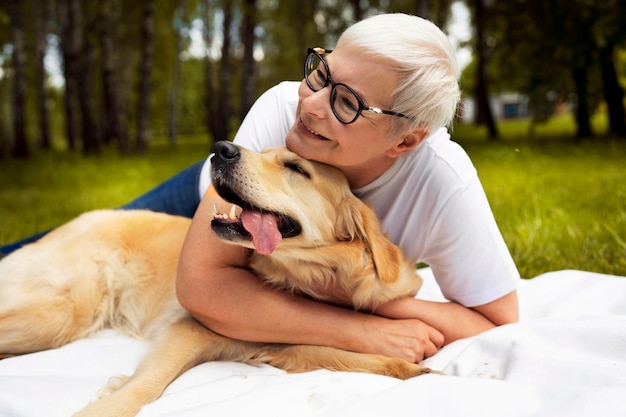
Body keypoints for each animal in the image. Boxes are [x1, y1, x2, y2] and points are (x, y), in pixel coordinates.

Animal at [0, 143, 428, 416]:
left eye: (296, 168)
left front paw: (426, 373)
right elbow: (146, 386)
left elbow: (378, 362)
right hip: (64, 312)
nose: (221, 149)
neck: (305, 274)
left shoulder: (286, 344)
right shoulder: (188, 329)